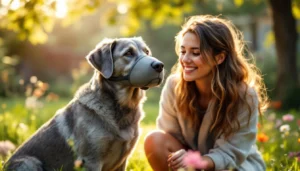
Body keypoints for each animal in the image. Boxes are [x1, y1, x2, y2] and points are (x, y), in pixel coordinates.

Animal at [4, 36, 164, 170]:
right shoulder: (91, 160)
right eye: (128, 53)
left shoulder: (122, 161)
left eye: (147, 51)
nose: (159, 65)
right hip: (29, 162)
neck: (123, 107)